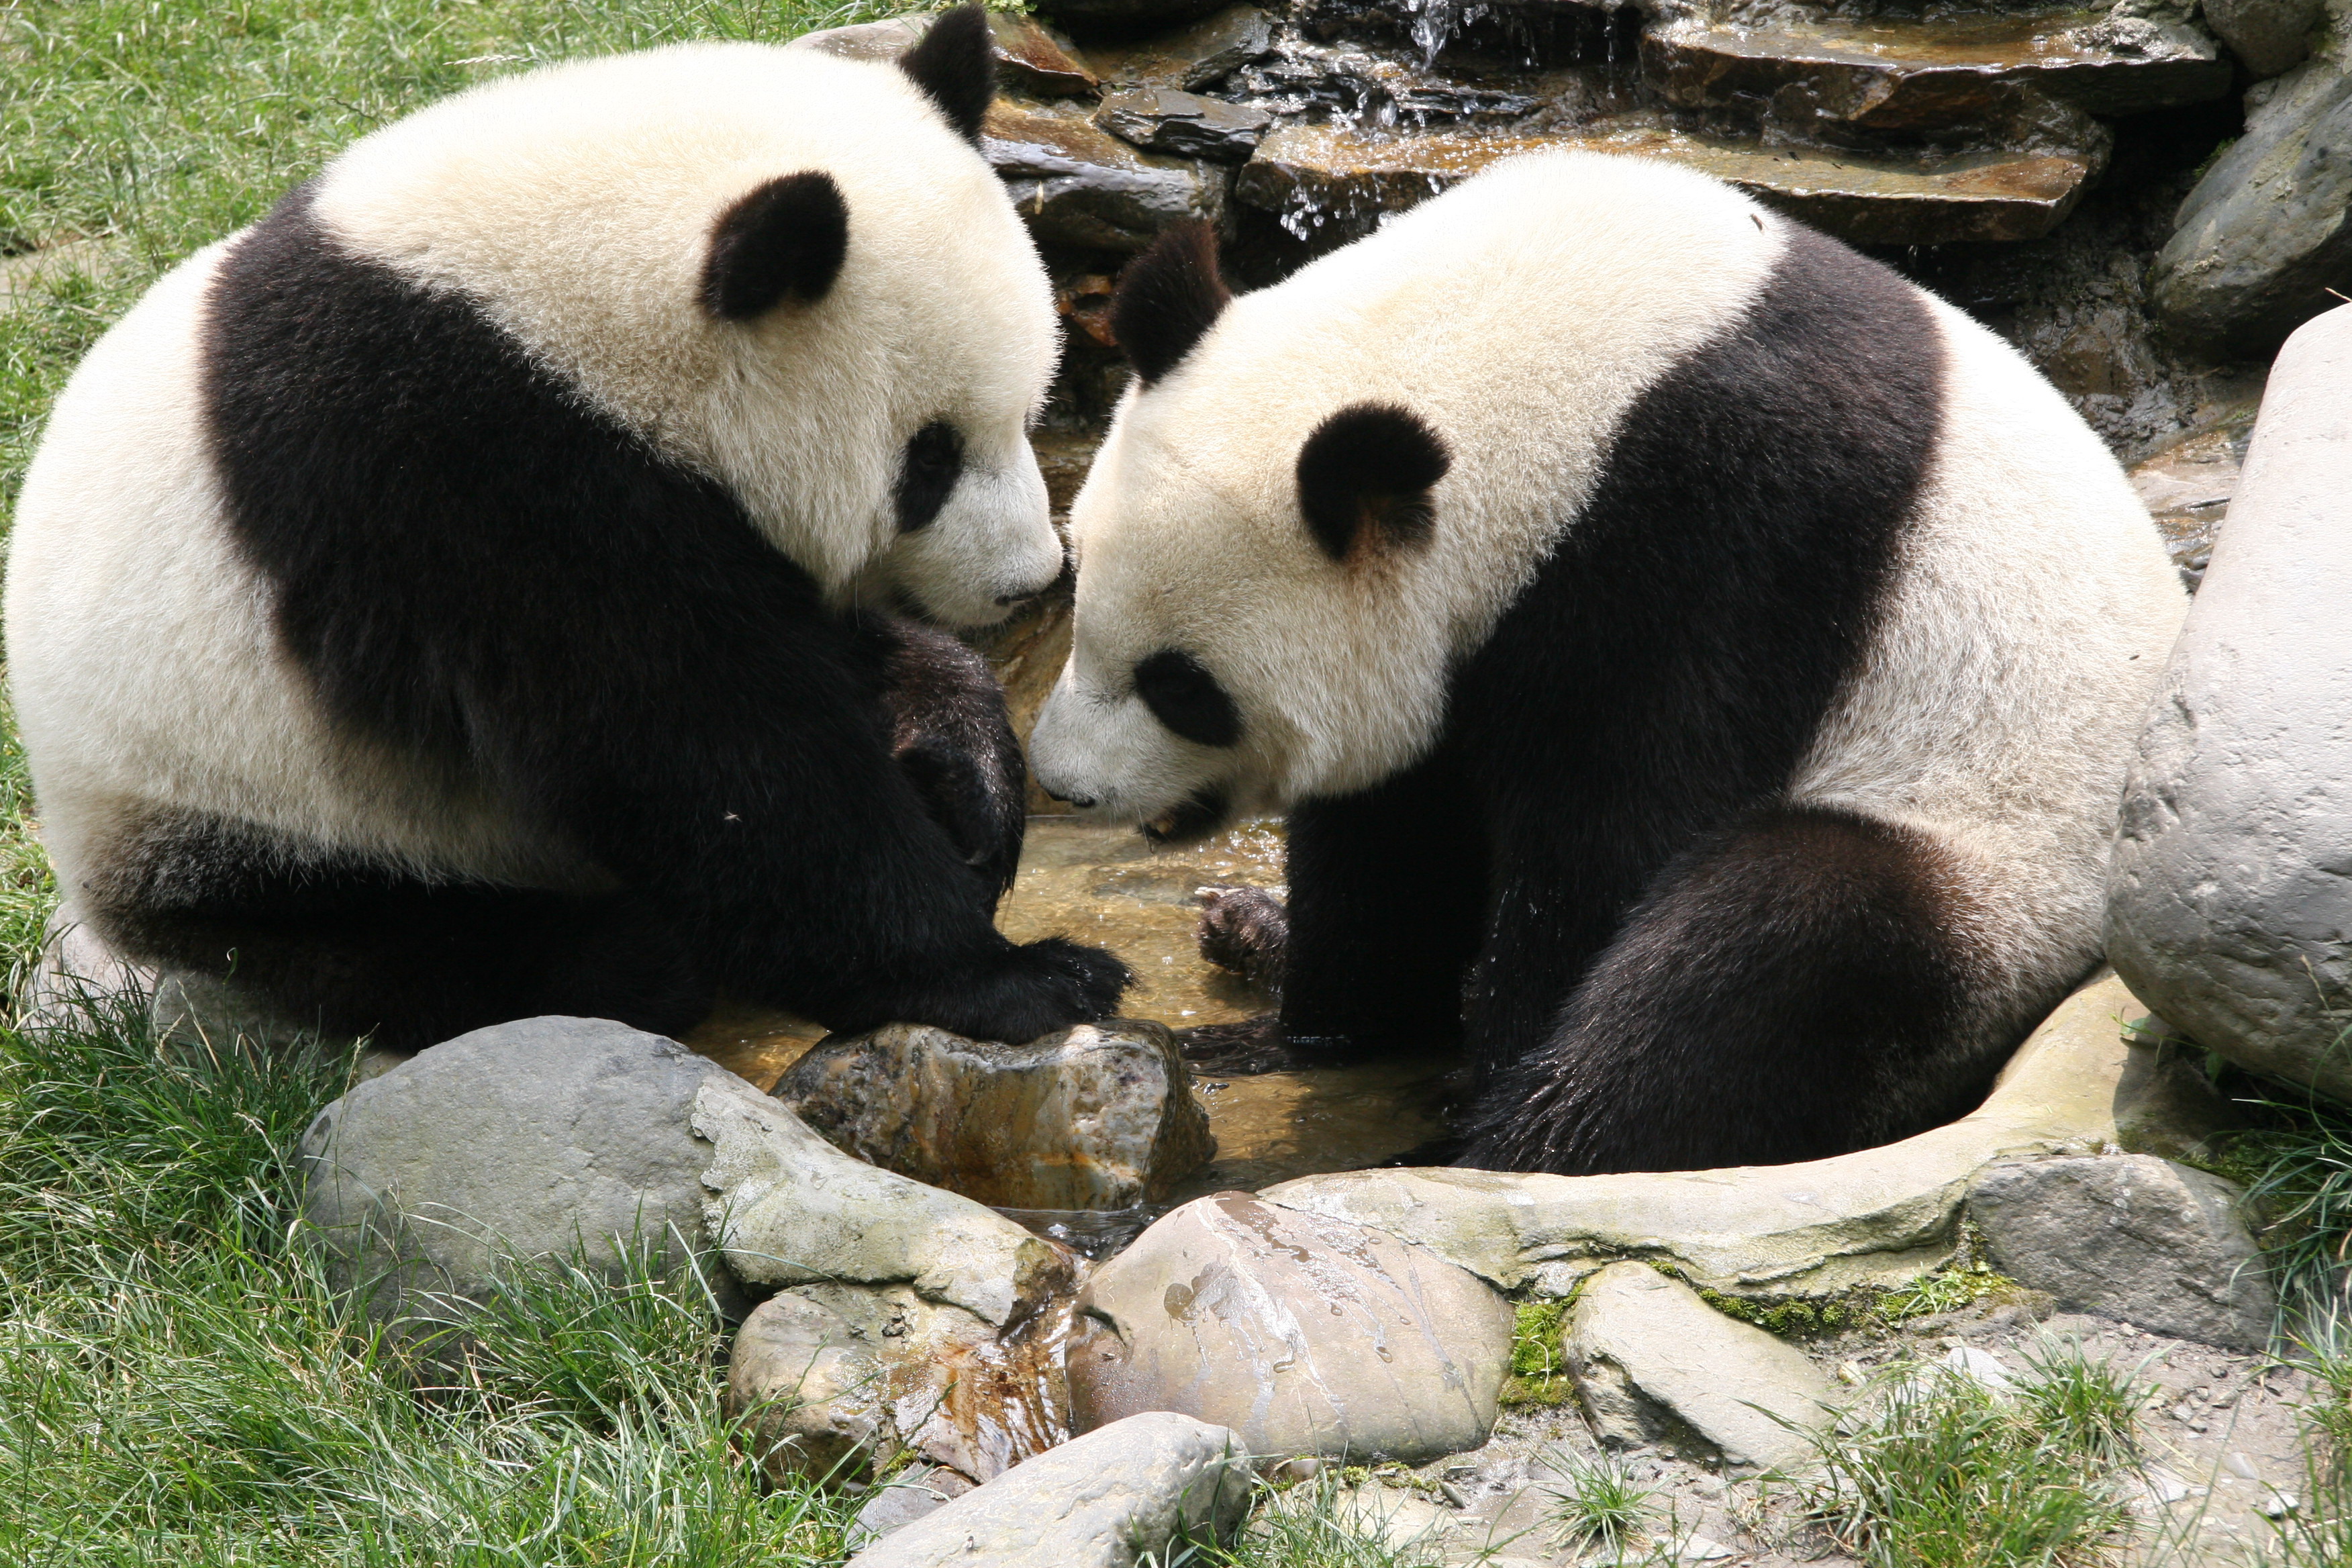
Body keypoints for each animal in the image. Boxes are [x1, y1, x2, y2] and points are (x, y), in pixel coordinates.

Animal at [7, 9, 1128, 1053]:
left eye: (1030, 408)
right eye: (928, 460)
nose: (1027, 580)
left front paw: (969, 776)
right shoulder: (473, 479)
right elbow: (696, 747)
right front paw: (1015, 976)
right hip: (250, 802)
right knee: (376, 938)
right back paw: (622, 959)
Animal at [1030, 152, 2182, 1175]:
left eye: (1182, 687)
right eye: (1079, 604)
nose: (1064, 783)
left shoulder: (1719, 537)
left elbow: (1612, 833)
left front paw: (1481, 1079)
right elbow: (1395, 832)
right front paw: (1305, 1033)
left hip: (1992, 859)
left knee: (1780, 950)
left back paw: (1521, 1142)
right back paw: (1252, 935)